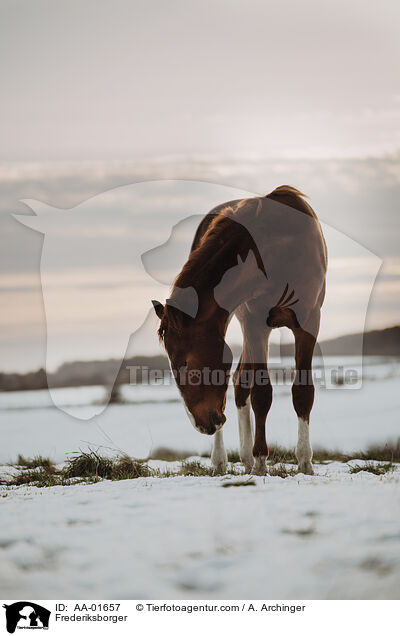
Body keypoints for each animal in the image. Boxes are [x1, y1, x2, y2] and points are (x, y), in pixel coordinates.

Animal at [152, 184, 326, 472]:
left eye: (184, 363)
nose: (201, 425)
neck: (279, 247)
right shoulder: (255, 322)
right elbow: (261, 393)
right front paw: (260, 462)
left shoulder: (308, 322)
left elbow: (303, 391)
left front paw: (304, 462)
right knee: (241, 383)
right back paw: (225, 460)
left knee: (240, 382)